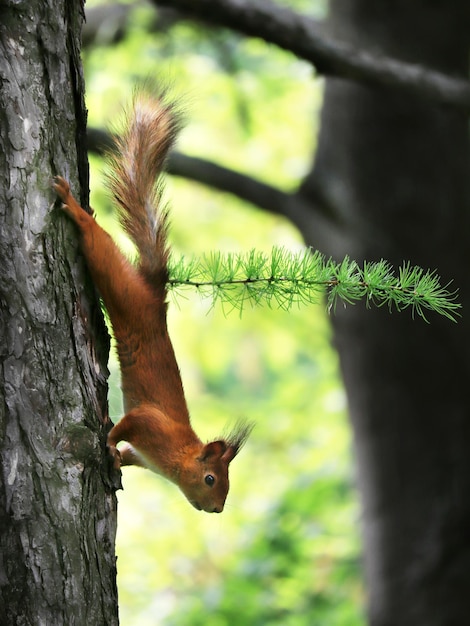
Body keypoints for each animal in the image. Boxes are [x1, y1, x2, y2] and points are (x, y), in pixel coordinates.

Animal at [52, 91, 252, 512]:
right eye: (211, 479)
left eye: (226, 485)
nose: (217, 508)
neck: (177, 454)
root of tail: (154, 292)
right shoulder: (149, 424)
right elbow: (124, 427)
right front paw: (109, 442)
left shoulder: (145, 454)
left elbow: (129, 453)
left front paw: (118, 461)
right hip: (119, 284)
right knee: (96, 241)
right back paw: (76, 208)